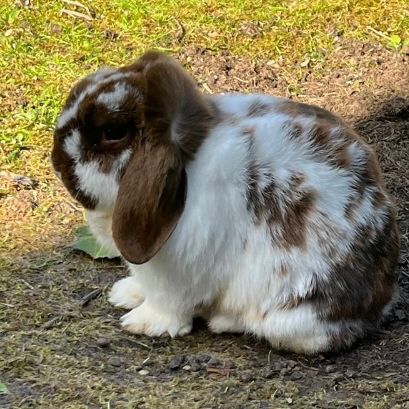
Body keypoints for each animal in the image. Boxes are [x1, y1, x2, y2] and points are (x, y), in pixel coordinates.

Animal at [51, 50, 398, 350]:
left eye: (112, 132)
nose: (57, 161)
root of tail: (380, 302)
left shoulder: (177, 278)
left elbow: (168, 305)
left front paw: (142, 323)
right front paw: (125, 293)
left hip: (288, 318)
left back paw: (222, 320)